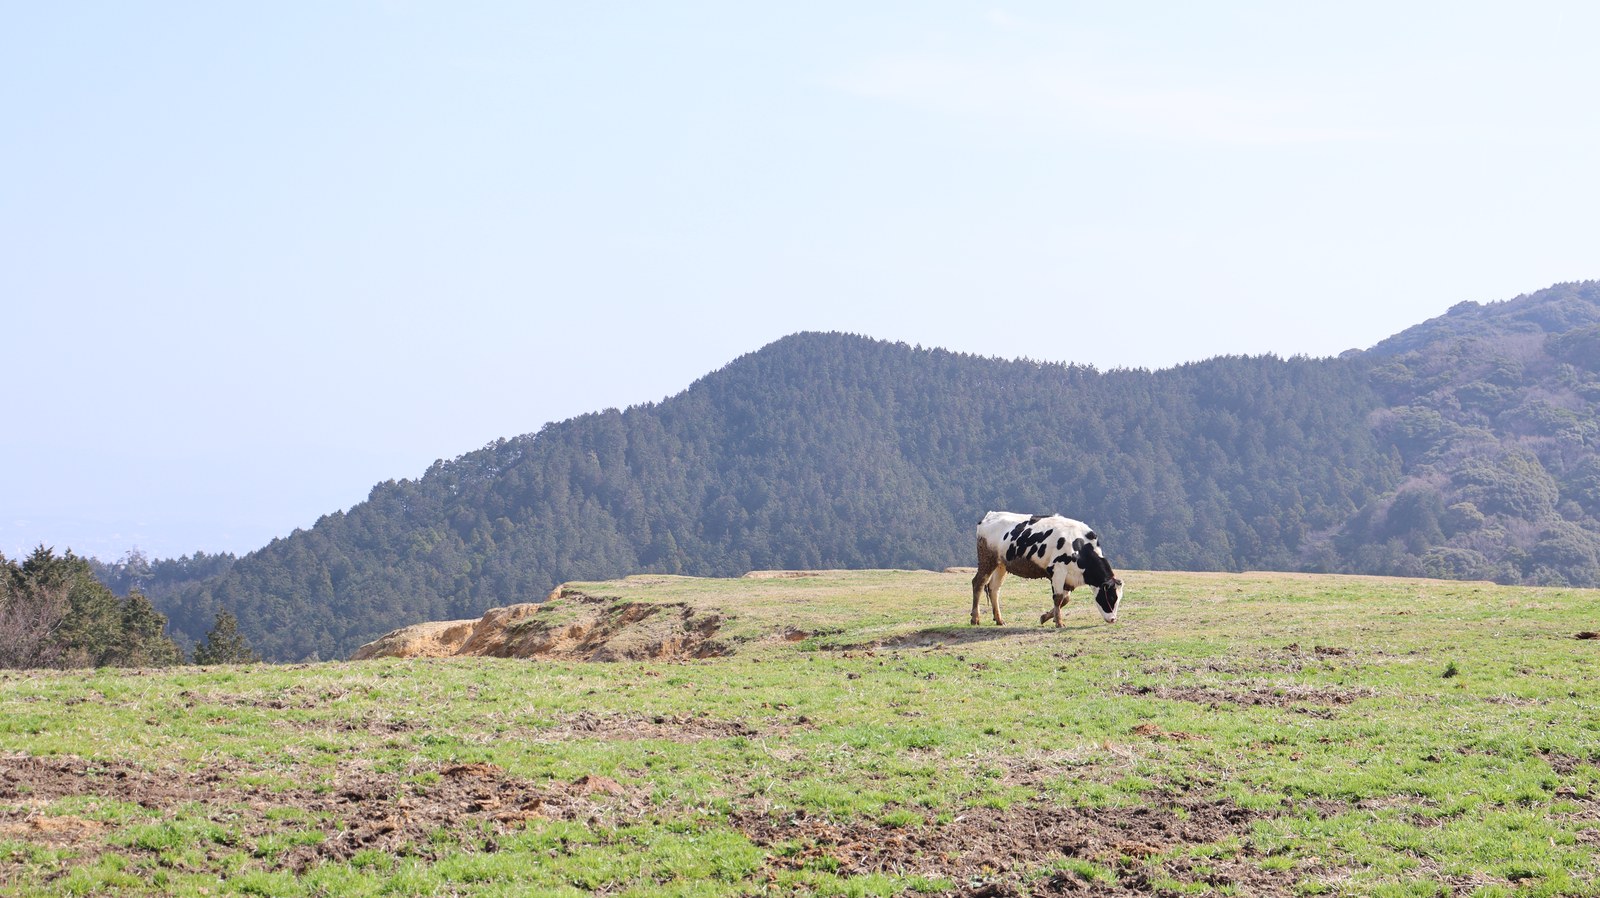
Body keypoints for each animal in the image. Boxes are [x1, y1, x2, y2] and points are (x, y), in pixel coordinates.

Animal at [971, 511, 1123, 627]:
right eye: (1111, 597)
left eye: (1119, 598)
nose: (1113, 619)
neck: (1079, 547)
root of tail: (990, 515)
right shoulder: (1058, 571)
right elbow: (1058, 598)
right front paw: (1059, 623)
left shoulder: (1067, 579)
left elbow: (1065, 599)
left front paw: (1046, 617)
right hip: (987, 559)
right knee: (978, 583)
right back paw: (975, 618)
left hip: (1001, 564)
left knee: (994, 589)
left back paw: (999, 620)